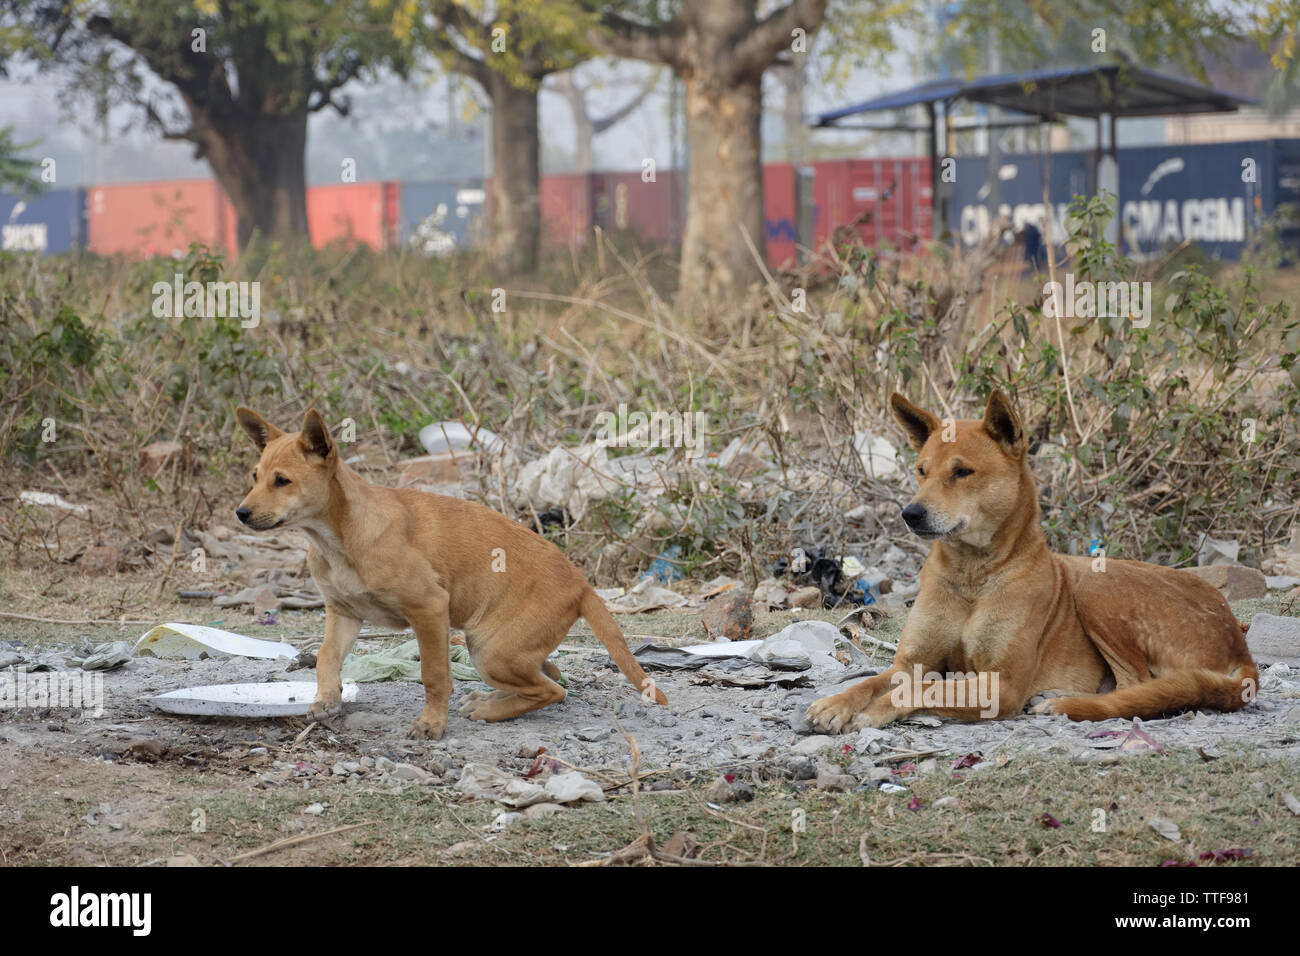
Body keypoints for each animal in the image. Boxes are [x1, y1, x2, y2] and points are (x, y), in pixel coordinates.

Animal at [231, 405, 670, 738]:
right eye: (255, 477)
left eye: (282, 481)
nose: (241, 513)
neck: (335, 538)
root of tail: (583, 586)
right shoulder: (344, 613)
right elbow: (326, 657)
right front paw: (326, 698)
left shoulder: (428, 608)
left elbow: (434, 674)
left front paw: (431, 724)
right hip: (503, 651)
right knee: (550, 675)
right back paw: (492, 700)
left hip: (489, 650)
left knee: (551, 691)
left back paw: (489, 709)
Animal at [806, 390, 1253, 733]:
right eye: (921, 471)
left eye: (962, 472)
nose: (910, 513)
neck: (973, 574)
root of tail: (1236, 635)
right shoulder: (911, 662)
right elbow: (871, 682)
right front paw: (836, 703)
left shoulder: (1000, 685)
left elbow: (923, 689)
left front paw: (873, 712)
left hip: (1096, 585)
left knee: (1136, 686)